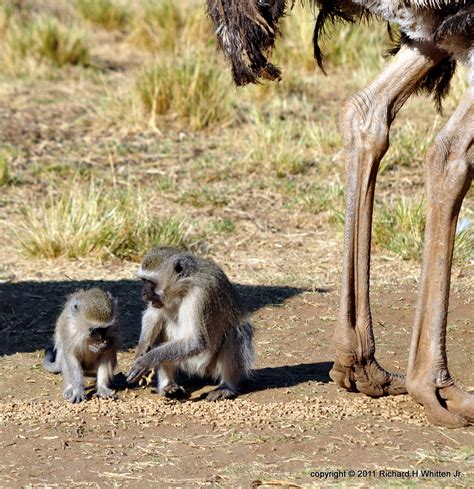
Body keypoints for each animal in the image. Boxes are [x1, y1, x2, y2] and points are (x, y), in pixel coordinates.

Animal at [124, 246, 254, 398]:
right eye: (143, 280)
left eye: (150, 282)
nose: (143, 294)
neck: (184, 287)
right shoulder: (158, 301)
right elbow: (153, 314)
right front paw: (142, 348)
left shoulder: (201, 295)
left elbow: (196, 341)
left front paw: (146, 360)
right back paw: (168, 386)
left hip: (205, 362)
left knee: (236, 330)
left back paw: (227, 386)